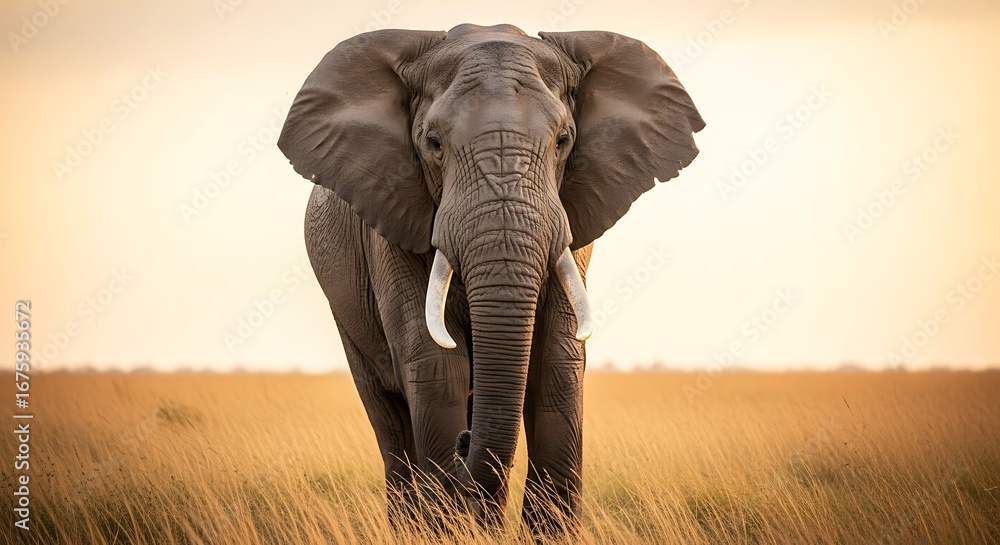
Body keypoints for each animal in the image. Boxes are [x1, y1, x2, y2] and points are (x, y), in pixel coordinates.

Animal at [277, 23, 704, 534]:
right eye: (433, 143)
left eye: (563, 140)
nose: (463, 444)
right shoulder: (391, 218)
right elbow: (436, 366)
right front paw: (449, 529)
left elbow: (557, 365)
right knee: (390, 420)